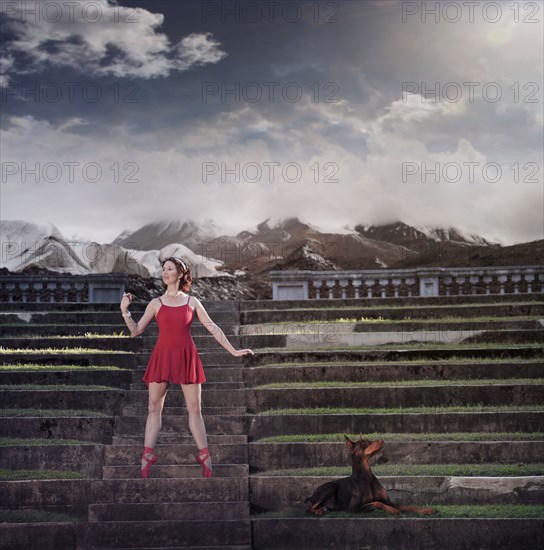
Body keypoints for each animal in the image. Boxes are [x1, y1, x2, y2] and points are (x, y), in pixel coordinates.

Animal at [306, 436, 438, 516]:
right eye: (364, 442)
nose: (382, 440)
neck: (366, 476)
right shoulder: (353, 508)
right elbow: (377, 503)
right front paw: (393, 510)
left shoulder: (388, 501)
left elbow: (409, 506)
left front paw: (427, 510)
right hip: (330, 487)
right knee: (309, 508)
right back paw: (318, 510)